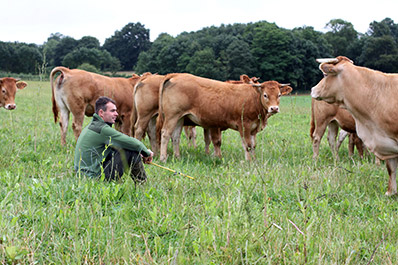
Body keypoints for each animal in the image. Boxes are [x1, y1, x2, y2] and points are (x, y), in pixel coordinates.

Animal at [158, 73, 292, 162]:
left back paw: (177, 156)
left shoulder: (253, 128)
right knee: (165, 134)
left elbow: (253, 145)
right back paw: (163, 158)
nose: (274, 108)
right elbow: (246, 145)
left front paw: (254, 159)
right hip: (172, 116)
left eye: (279, 95)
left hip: (179, 118)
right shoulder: (244, 126)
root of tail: (176, 75)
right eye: (265, 95)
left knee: (176, 137)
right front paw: (248, 161)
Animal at [310, 55, 398, 195]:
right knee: (318, 138)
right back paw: (316, 159)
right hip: (323, 120)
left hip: (332, 123)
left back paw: (336, 159)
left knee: (331, 139)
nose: (312, 89)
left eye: (325, 75)